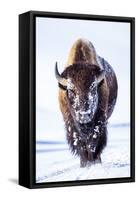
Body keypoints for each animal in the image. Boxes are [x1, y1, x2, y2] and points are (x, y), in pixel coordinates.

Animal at [55, 38, 117, 166]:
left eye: (93, 88)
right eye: (71, 89)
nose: (84, 115)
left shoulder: (100, 120)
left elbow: (93, 141)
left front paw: (93, 162)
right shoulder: (70, 123)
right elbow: (79, 142)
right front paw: (85, 163)